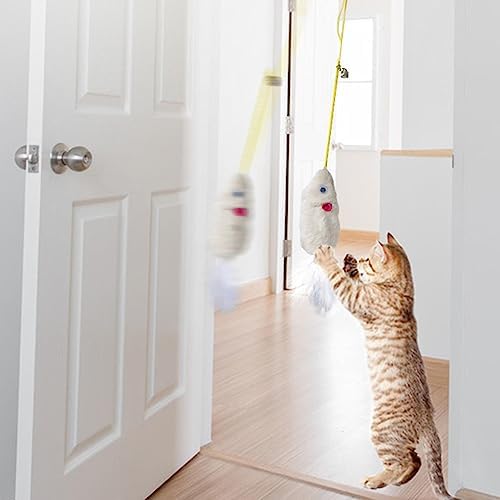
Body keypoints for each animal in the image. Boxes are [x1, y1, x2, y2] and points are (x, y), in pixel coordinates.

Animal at [314, 233, 456, 500]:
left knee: (405, 462)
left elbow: (339, 280)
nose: (359, 259)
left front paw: (328, 257)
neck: (403, 288)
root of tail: (428, 421)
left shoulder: (357, 299)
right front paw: (348, 262)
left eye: (369, 259)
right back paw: (394, 480)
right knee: (414, 460)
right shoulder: (362, 293)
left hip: (382, 432)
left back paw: (375, 480)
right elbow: (351, 278)